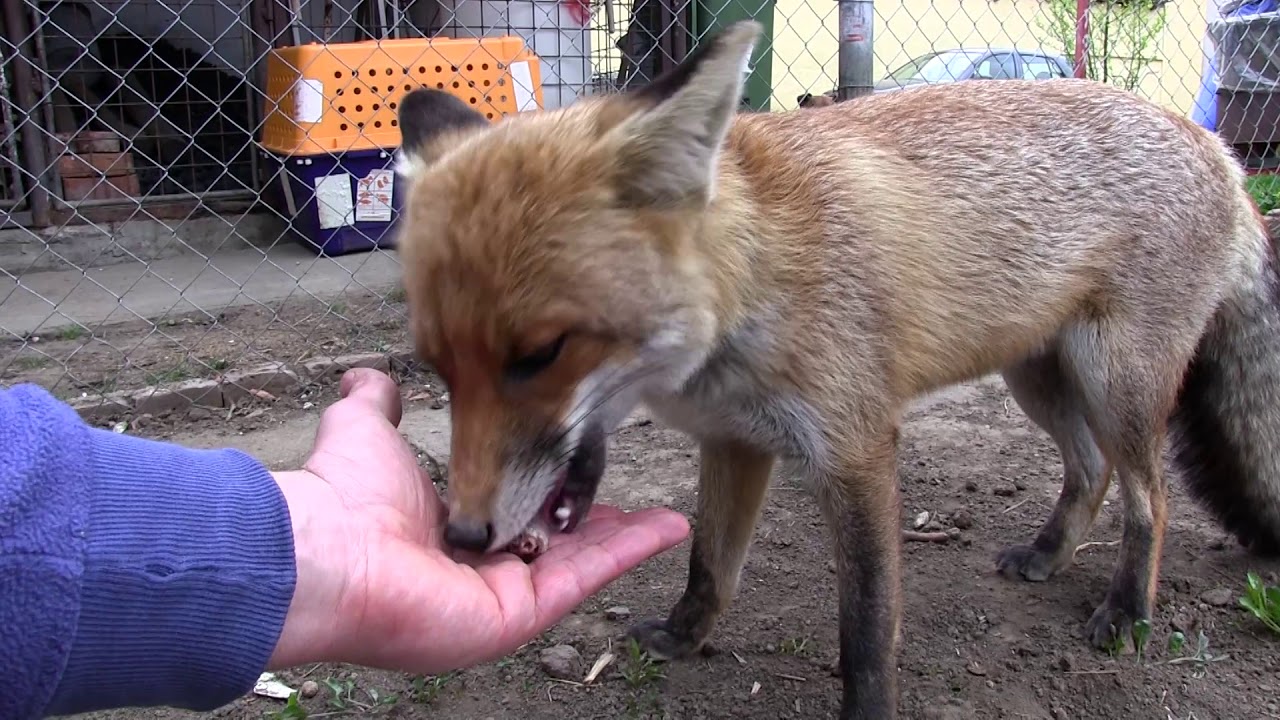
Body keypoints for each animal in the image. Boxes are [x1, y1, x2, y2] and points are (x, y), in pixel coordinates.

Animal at [389, 19, 1280, 712]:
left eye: (540, 354)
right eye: (439, 368)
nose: (463, 536)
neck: (754, 280)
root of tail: (1220, 149)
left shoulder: (855, 449)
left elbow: (867, 630)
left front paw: (867, 707)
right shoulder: (734, 440)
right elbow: (709, 566)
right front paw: (682, 637)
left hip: (1115, 381)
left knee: (1150, 500)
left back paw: (1128, 611)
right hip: (1038, 378)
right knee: (1090, 472)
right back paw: (1050, 553)